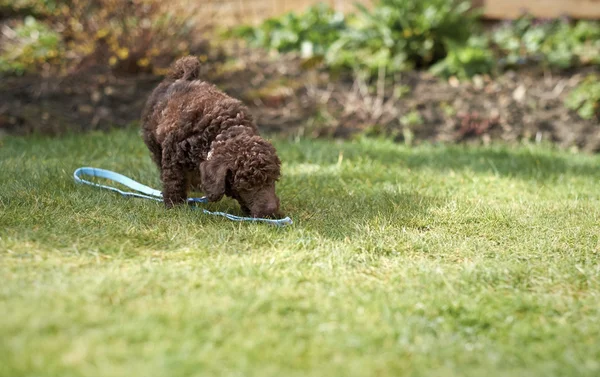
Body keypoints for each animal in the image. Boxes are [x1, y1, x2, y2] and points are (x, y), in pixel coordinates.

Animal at [141, 54, 282, 216]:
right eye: (247, 186)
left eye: (272, 179)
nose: (271, 212)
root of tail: (177, 79)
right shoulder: (173, 154)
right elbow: (174, 181)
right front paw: (174, 205)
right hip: (153, 140)